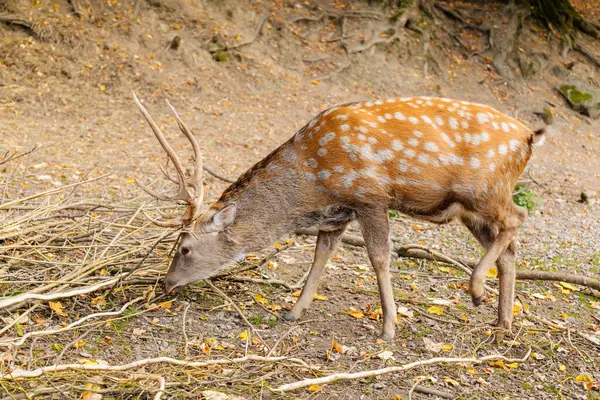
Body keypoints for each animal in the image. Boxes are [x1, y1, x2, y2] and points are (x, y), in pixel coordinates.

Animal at [134, 93, 548, 340]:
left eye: (185, 248)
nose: (166, 283)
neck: (314, 180)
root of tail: (529, 137)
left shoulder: (370, 196)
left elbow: (379, 258)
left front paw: (389, 327)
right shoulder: (337, 215)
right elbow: (320, 257)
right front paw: (293, 312)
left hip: (485, 189)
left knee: (520, 215)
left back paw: (476, 290)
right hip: (468, 208)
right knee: (510, 247)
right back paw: (501, 323)